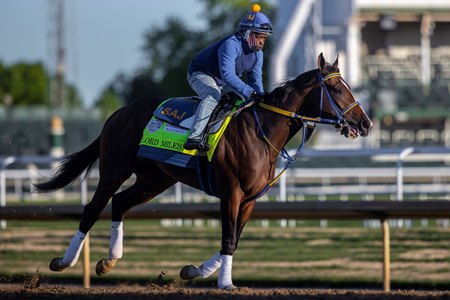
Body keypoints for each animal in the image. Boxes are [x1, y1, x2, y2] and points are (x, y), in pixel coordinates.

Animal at [36, 52, 372, 290]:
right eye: (335, 88)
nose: (366, 123)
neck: (260, 132)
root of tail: (119, 112)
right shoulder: (231, 193)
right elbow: (228, 238)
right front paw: (226, 283)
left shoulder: (250, 200)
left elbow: (234, 240)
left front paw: (194, 270)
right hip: (114, 169)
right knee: (92, 209)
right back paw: (63, 261)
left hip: (155, 179)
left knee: (119, 203)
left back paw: (109, 261)